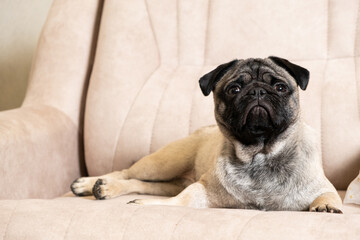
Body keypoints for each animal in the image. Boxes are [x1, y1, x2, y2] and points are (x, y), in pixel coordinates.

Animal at [71, 56, 344, 214]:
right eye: (234, 89)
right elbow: (178, 202)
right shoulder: (201, 191)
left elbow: (328, 194)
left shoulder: (321, 186)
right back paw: (94, 184)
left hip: (170, 178)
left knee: (143, 184)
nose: (257, 91)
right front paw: (147, 205)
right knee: (127, 173)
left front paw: (327, 206)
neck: (260, 153)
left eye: (279, 87)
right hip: (164, 163)